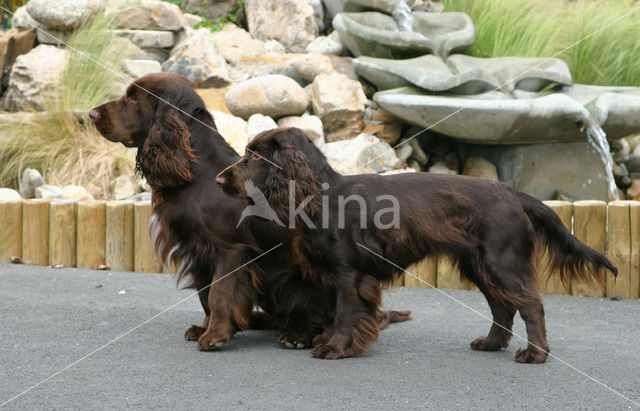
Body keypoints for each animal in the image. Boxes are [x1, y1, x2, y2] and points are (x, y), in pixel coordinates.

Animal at [218, 127, 616, 362]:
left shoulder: (349, 273)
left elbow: (345, 312)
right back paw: (491, 344)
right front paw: (327, 340)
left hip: (502, 262)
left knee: (531, 305)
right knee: (502, 308)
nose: (220, 180)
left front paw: (335, 347)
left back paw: (534, 354)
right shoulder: (334, 275)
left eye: (253, 157)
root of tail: (512, 192)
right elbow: (334, 312)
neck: (320, 196)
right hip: (479, 265)